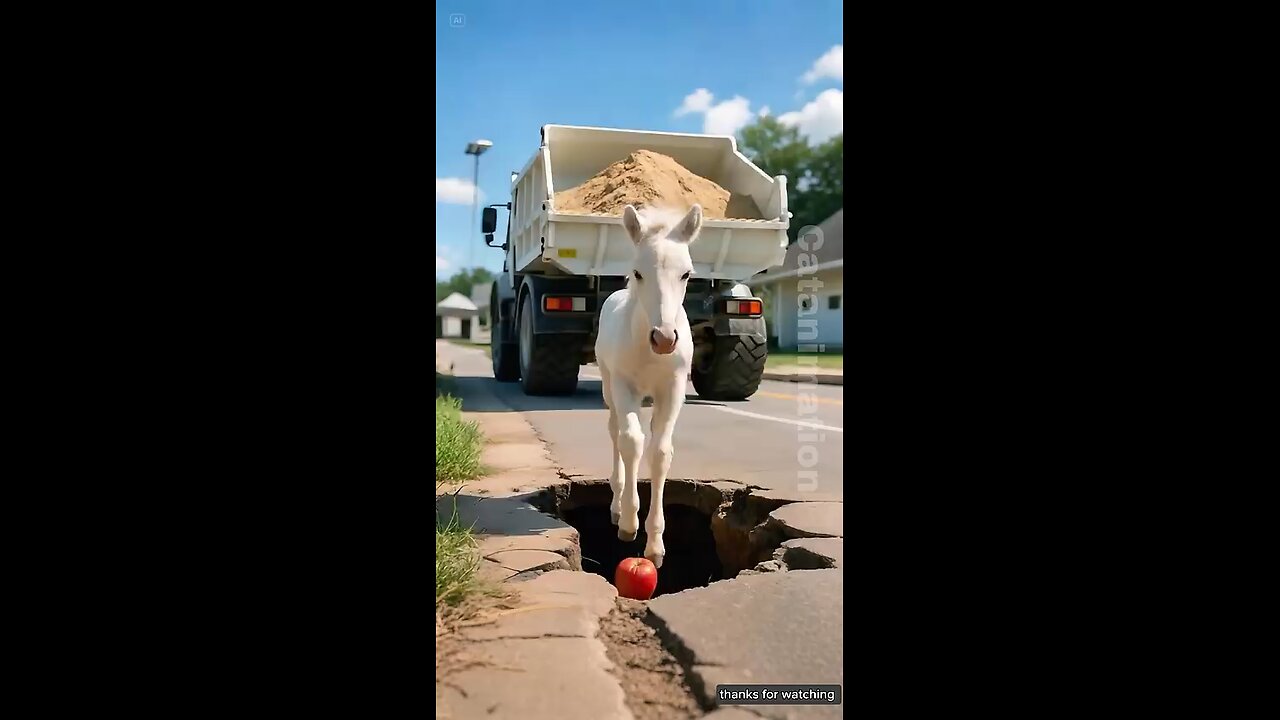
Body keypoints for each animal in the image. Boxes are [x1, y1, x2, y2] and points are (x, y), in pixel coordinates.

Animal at [594, 203, 703, 569]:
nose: (665, 338)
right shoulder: (624, 386)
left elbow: (660, 452)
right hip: (608, 386)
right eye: (638, 273)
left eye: (686, 274)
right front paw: (629, 522)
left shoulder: (673, 389)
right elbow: (631, 442)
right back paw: (616, 505)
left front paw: (655, 545)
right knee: (615, 432)